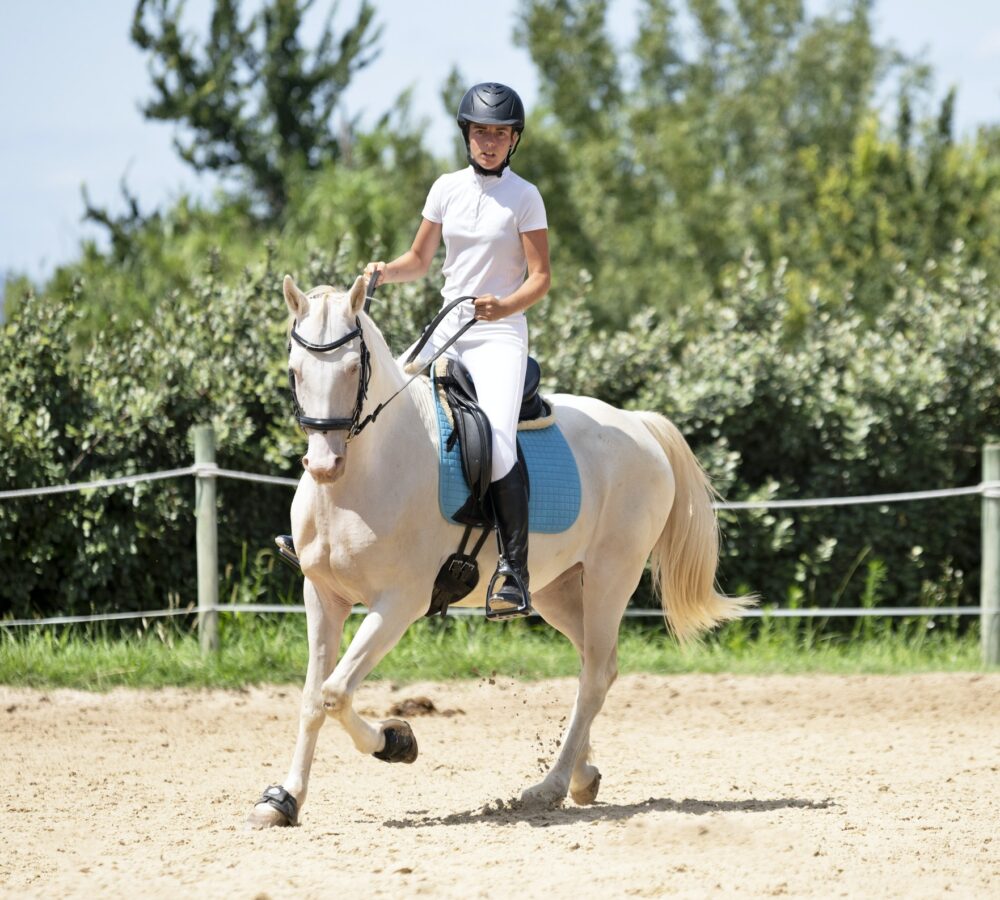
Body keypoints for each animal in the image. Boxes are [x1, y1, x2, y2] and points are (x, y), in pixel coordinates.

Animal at [247, 275, 754, 828]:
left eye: (354, 369)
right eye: (296, 372)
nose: (324, 465)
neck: (366, 475)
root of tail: (639, 425)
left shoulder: (398, 604)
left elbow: (335, 693)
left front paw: (398, 741)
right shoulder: (323, 595)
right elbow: (312, 698)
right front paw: (283, 799)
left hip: (611, 575)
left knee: (596, 672)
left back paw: (550, 786)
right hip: (557, 588)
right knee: (597, 662)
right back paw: (583, 774)